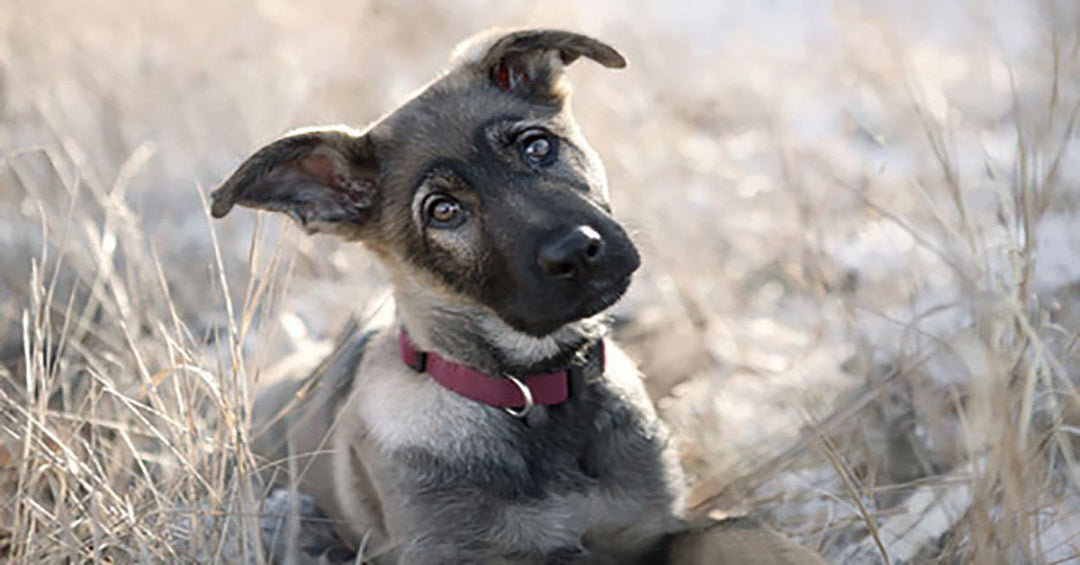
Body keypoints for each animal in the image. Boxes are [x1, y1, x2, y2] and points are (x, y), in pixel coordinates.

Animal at [208, 27, 816, 565]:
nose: (577, 251)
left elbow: (738, 532)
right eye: (443, 211)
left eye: (537, 146)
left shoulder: (650, 530)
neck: (535, 389)